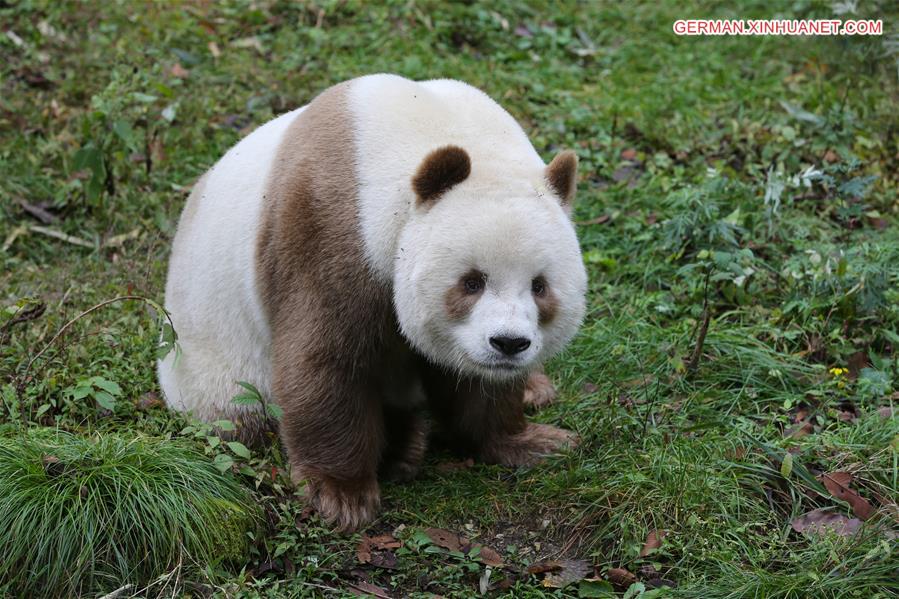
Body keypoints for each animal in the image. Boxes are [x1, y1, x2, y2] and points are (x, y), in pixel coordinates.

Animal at [159, 74, 587, 531]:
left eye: (539, 286)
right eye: (471, 281)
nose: (508, 343)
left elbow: (478, 385)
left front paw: (535, 441)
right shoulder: (329, 227)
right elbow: (328, 360)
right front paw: (342, 495)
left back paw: (532, 390)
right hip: (214, 360)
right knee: (238, 413)